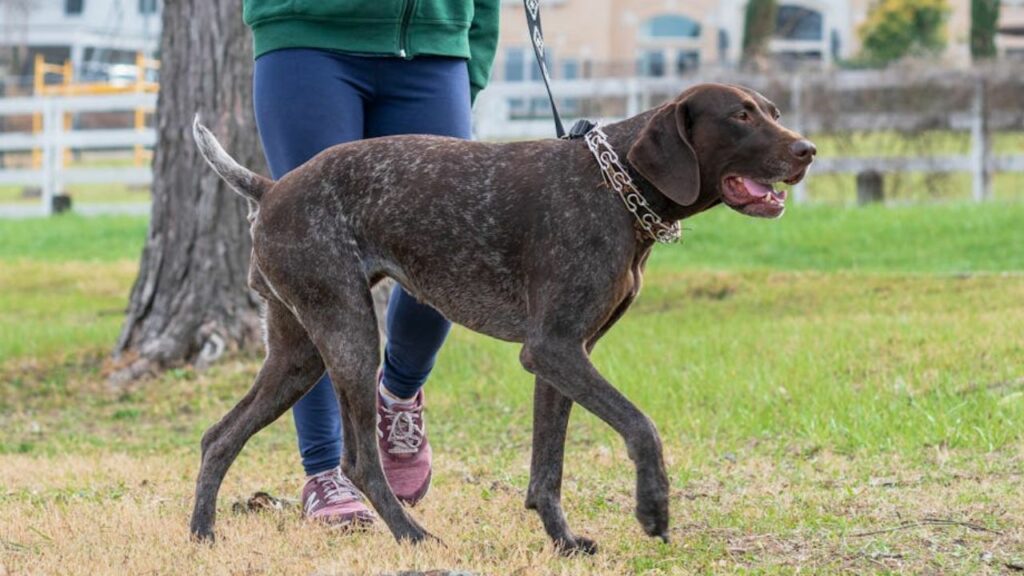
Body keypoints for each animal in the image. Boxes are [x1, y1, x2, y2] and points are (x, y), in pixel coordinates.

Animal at [190, 84, 815, 553]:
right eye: (740, 115)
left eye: (775, 113)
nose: (808, 150)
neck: (617, 188)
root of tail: (271, 188)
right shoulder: (554, 349)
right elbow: (641, 425)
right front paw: (653, 506)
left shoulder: (564, 358)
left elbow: (548, 469)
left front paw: (564, 542)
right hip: (349, 336)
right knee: (361, 461)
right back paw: (414, 537)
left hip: (298, 355)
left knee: (218, 436)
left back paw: (201, 536)